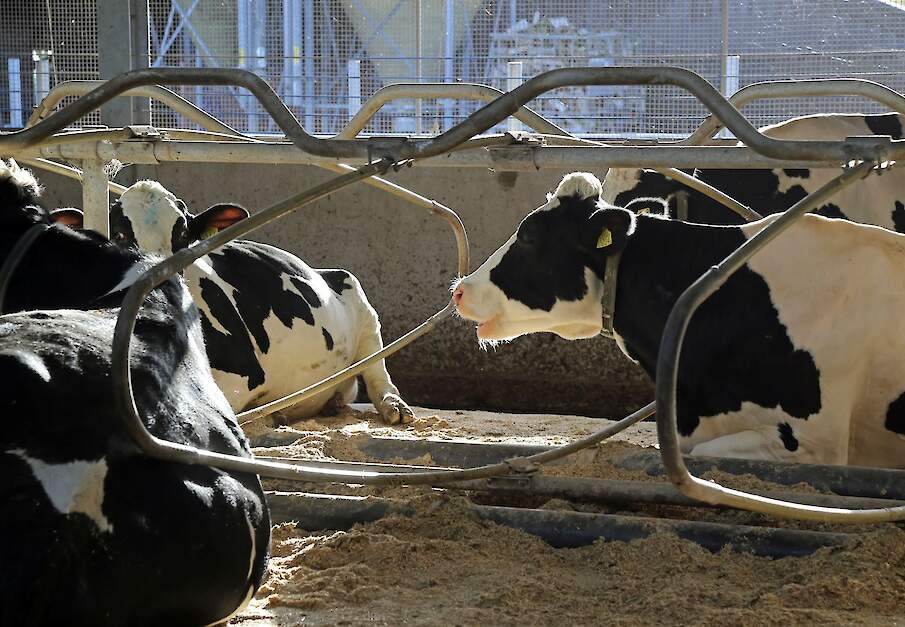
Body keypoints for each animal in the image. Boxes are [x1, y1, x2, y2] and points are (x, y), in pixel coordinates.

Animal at [58, 180, 414, 425]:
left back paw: (394, 407)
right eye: (119, 234)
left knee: (377, 371)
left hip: (360, 302)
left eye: (183, 236)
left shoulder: (242, 374)